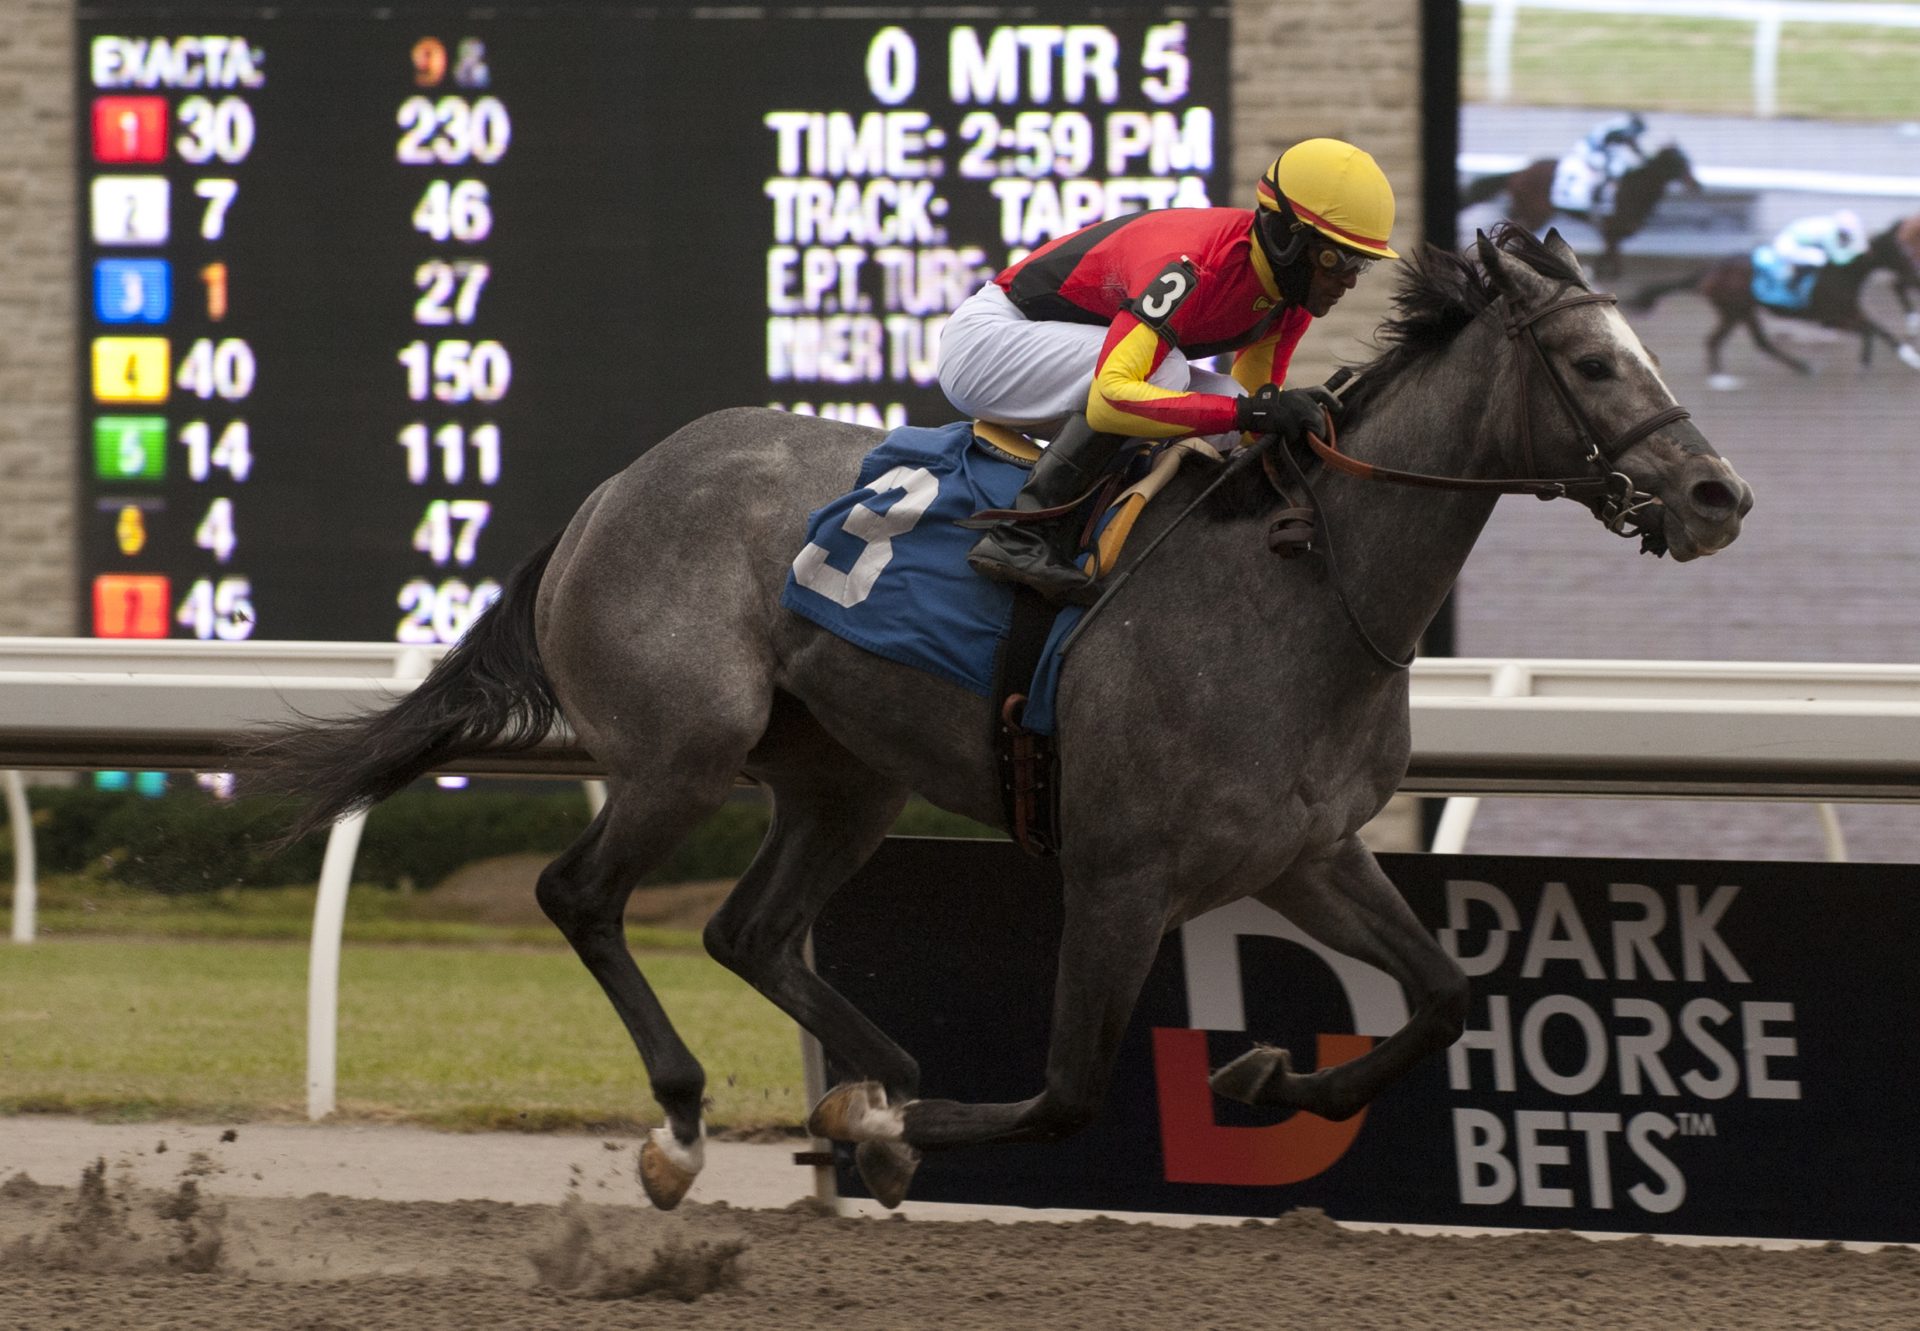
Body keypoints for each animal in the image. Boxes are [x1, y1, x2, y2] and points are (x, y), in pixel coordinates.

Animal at [236, 222, 1743, 1206]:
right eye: (1594, 366)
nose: (1717, 493)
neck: (1304, 587)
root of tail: (615, 485)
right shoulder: (1122, 873)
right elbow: (1071, 1090)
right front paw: (896, 1136)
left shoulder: (1305, 849)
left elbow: (1441, 995)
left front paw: (1268, 1082)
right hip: (683, 749)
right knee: (580, 894)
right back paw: (689, 1122)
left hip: (842, 776)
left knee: (746, 928)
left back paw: (870, 1075)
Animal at [1466, 145, 1697, 278]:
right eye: (1678, 163)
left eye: (1687, 161)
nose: (1695, 184)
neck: (1632, 186)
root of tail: (1519, 172)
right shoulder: (1611, 227)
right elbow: (1612, 256)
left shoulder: (1615, 231)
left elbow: (1611, 256)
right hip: (1536, 212)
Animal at [1628, 217, 1920, 384]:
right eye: (1902, 253)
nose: (1914, 275)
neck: (1843, 272)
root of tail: (1709, 271)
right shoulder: (1831, 318)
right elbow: (1870, 330)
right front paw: (1865, 363)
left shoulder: (1849, 312)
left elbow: (1880, 330)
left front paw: (1910, 359)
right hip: (1736, 310)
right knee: (1722, 340)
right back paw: (1723, 379)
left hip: (1742, 311)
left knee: (1756, 342)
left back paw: (1801, 367)